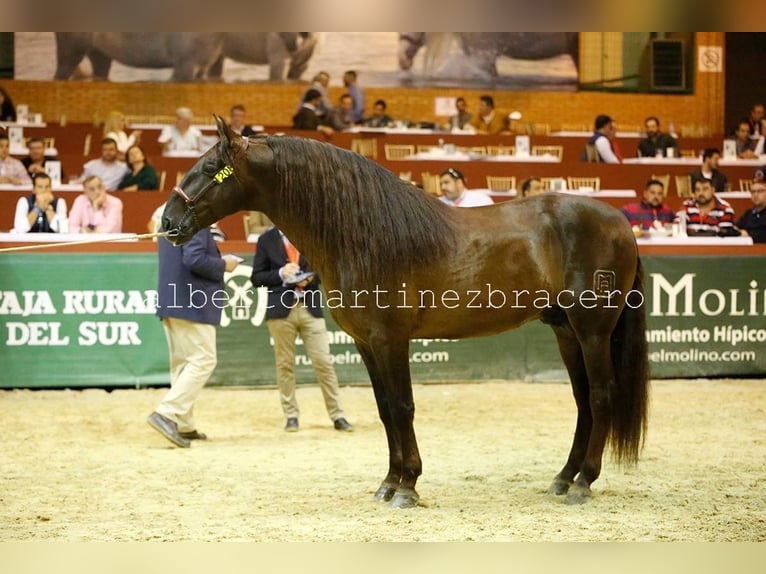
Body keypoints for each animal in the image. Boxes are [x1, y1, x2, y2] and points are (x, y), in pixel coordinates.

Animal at [159, 117, 652, 508]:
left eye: (208, 168)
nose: (166, 222)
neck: (364, 234)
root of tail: (620, 222)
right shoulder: (366, 343)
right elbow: (384, 410)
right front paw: (388, 483)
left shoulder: (390, 340)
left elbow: (402, 407)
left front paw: (408, 487)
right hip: (565, 331)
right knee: (583, 400)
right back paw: (564, 478)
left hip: (592, 331)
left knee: (602, 396)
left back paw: (584, 483)